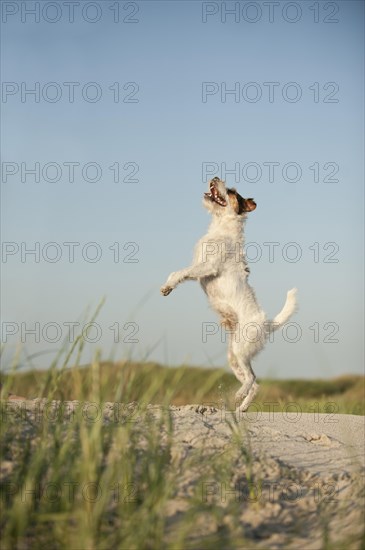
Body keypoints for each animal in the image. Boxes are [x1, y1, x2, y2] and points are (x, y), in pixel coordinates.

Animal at [161, 179, 298, 412]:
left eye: (232, 192)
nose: (215, 177)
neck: (220, 227)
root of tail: (266, 324)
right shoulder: (197, 265)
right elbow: (177, 273)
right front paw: (167, 287)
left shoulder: (207, 266)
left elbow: (180, 273)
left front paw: (169, 285)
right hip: (234, 357)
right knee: (255, 383)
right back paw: (241, 408)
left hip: (241, 351)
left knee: (252, 379)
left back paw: (239, 396)